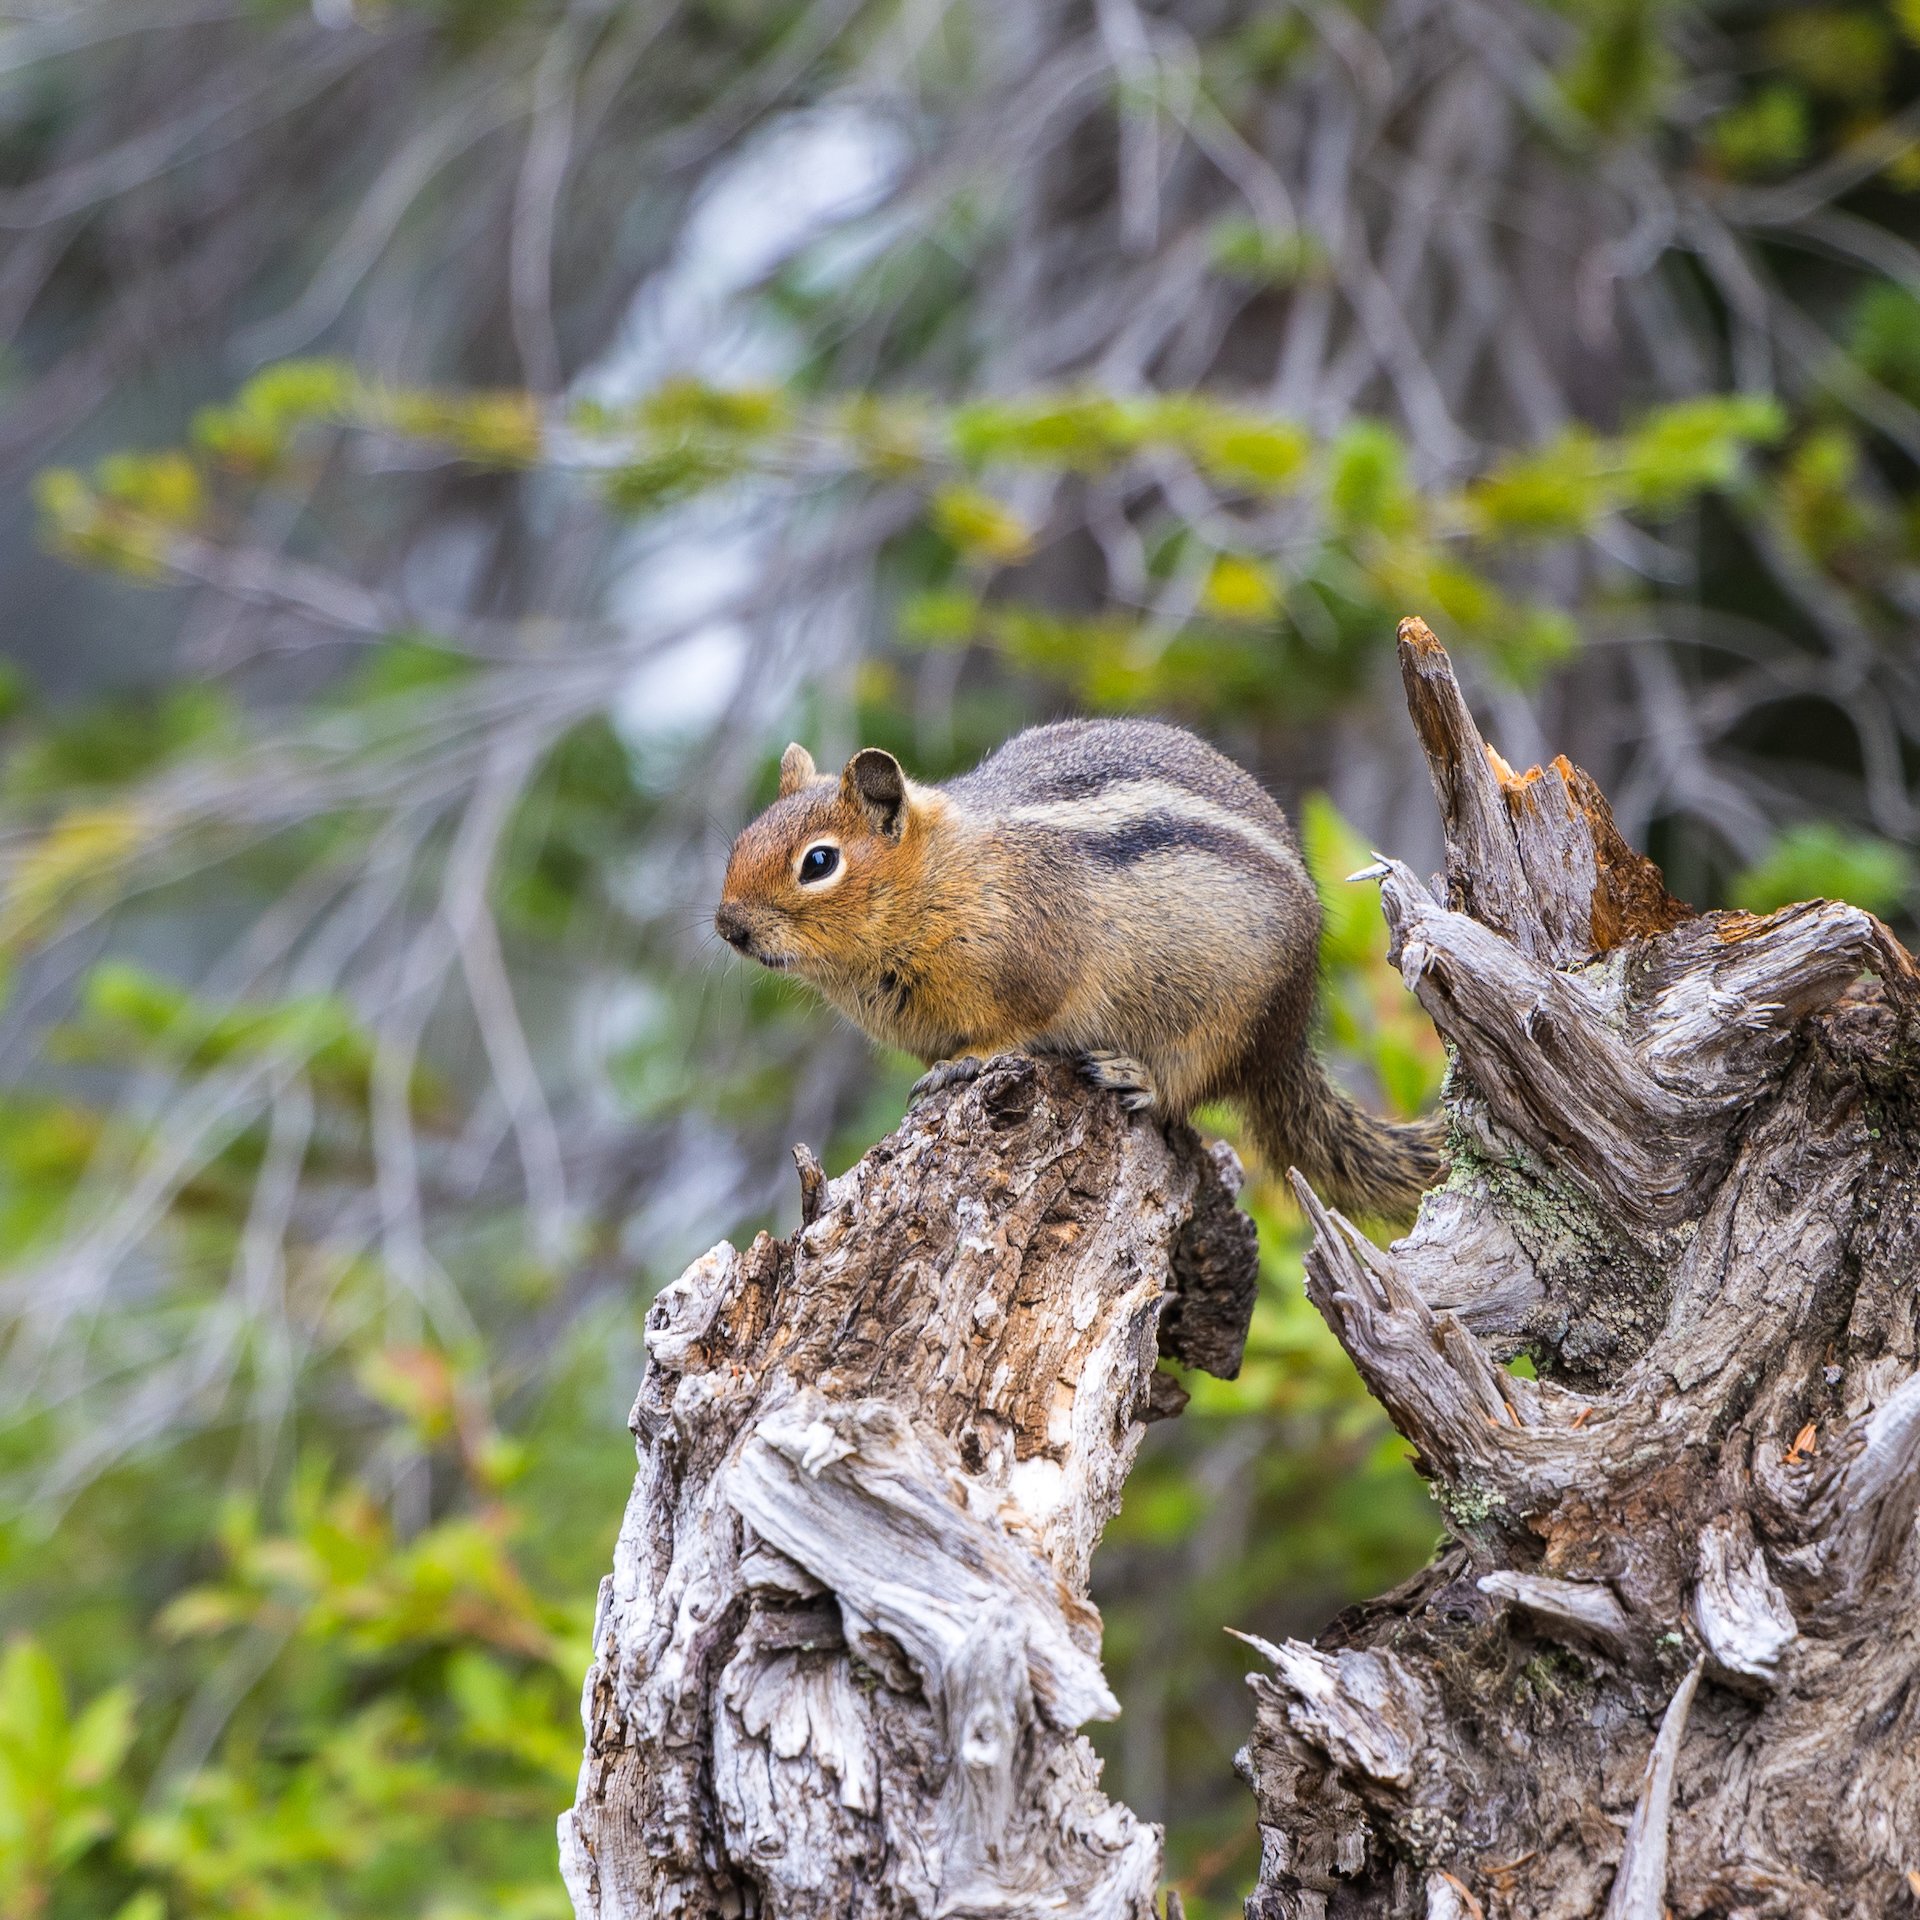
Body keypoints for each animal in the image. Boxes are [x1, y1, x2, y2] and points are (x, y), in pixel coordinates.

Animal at [718, 714, 1443, 1221]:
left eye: (819, 862)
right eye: (741, 840)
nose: (729, 926)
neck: (941, 876)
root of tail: (1288, 1041)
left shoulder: (1035, 964)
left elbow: (1014, 1025)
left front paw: (963, 1064)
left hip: (1222, 1025)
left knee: (1186, 1089)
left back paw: (1134, 1075)